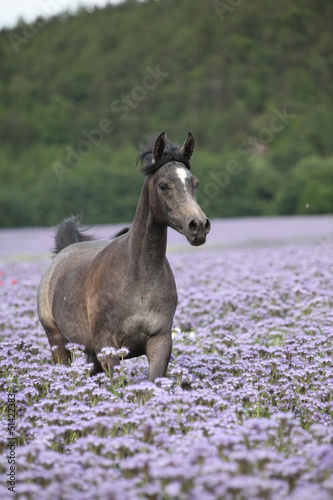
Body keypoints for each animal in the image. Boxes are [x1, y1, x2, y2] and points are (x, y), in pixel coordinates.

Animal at [37, 131, 210, 380]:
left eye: (194, 183)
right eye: (163, 185)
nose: (198, 226)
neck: (138, 279)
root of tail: (64, 251)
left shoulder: (160, 343)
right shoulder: (107, 348)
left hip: (89, 353)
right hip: (58, 342)